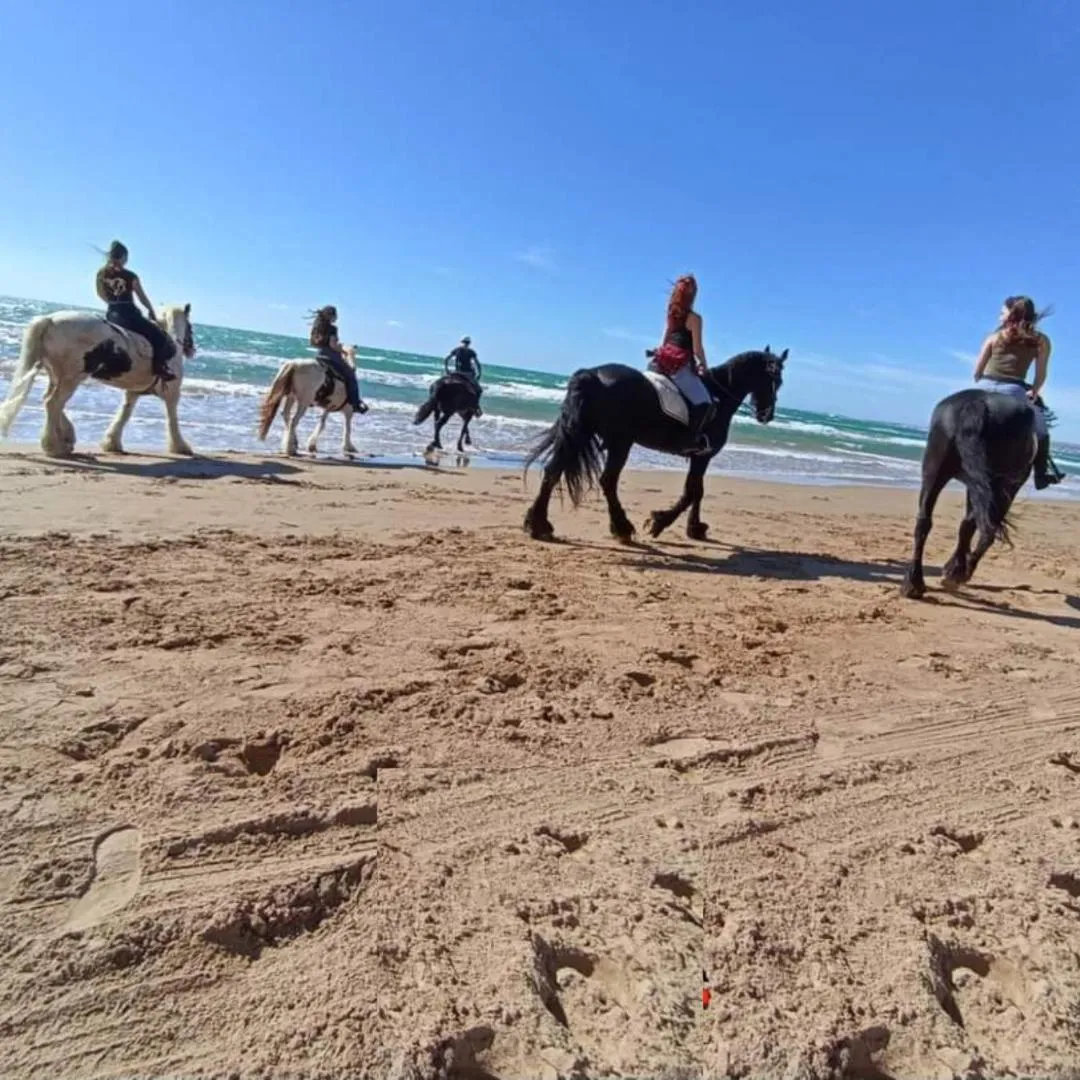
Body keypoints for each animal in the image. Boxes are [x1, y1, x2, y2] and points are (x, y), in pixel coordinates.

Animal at [0, 304, 196, 458]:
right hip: (72, 377)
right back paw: (55, 446)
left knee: (51, 401)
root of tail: (50, 319)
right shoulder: (172, 393)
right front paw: (181, 447)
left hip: (58, 374)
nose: (192, 349)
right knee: (53, 403)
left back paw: (65, 439)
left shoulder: (133, 392)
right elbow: (172, 418)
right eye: (191, 327)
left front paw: (112, 443)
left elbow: (124, 414)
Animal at [523, 347, 788, 542]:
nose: (766, 415)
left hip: (582, 432)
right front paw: (659, 522)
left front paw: (694, 528)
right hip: (620, 441)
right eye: (776, 379)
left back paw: (538, 524)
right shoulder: (703, 455)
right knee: (607, 480)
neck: (719, 395)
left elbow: (697, 491)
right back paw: (621, 528)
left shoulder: (700, 456)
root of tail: (592, 374)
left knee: (554, 470)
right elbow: (693, 491)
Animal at [900, 388, 1040, 599]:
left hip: (937, 471)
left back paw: (917, 582)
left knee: (925, 521)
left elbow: (967, 525)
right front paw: (956, 567)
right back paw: (949, 575)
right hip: (996, 486)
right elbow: (969, 525)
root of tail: (976, 403)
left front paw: (955, 567)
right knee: (985, 528)